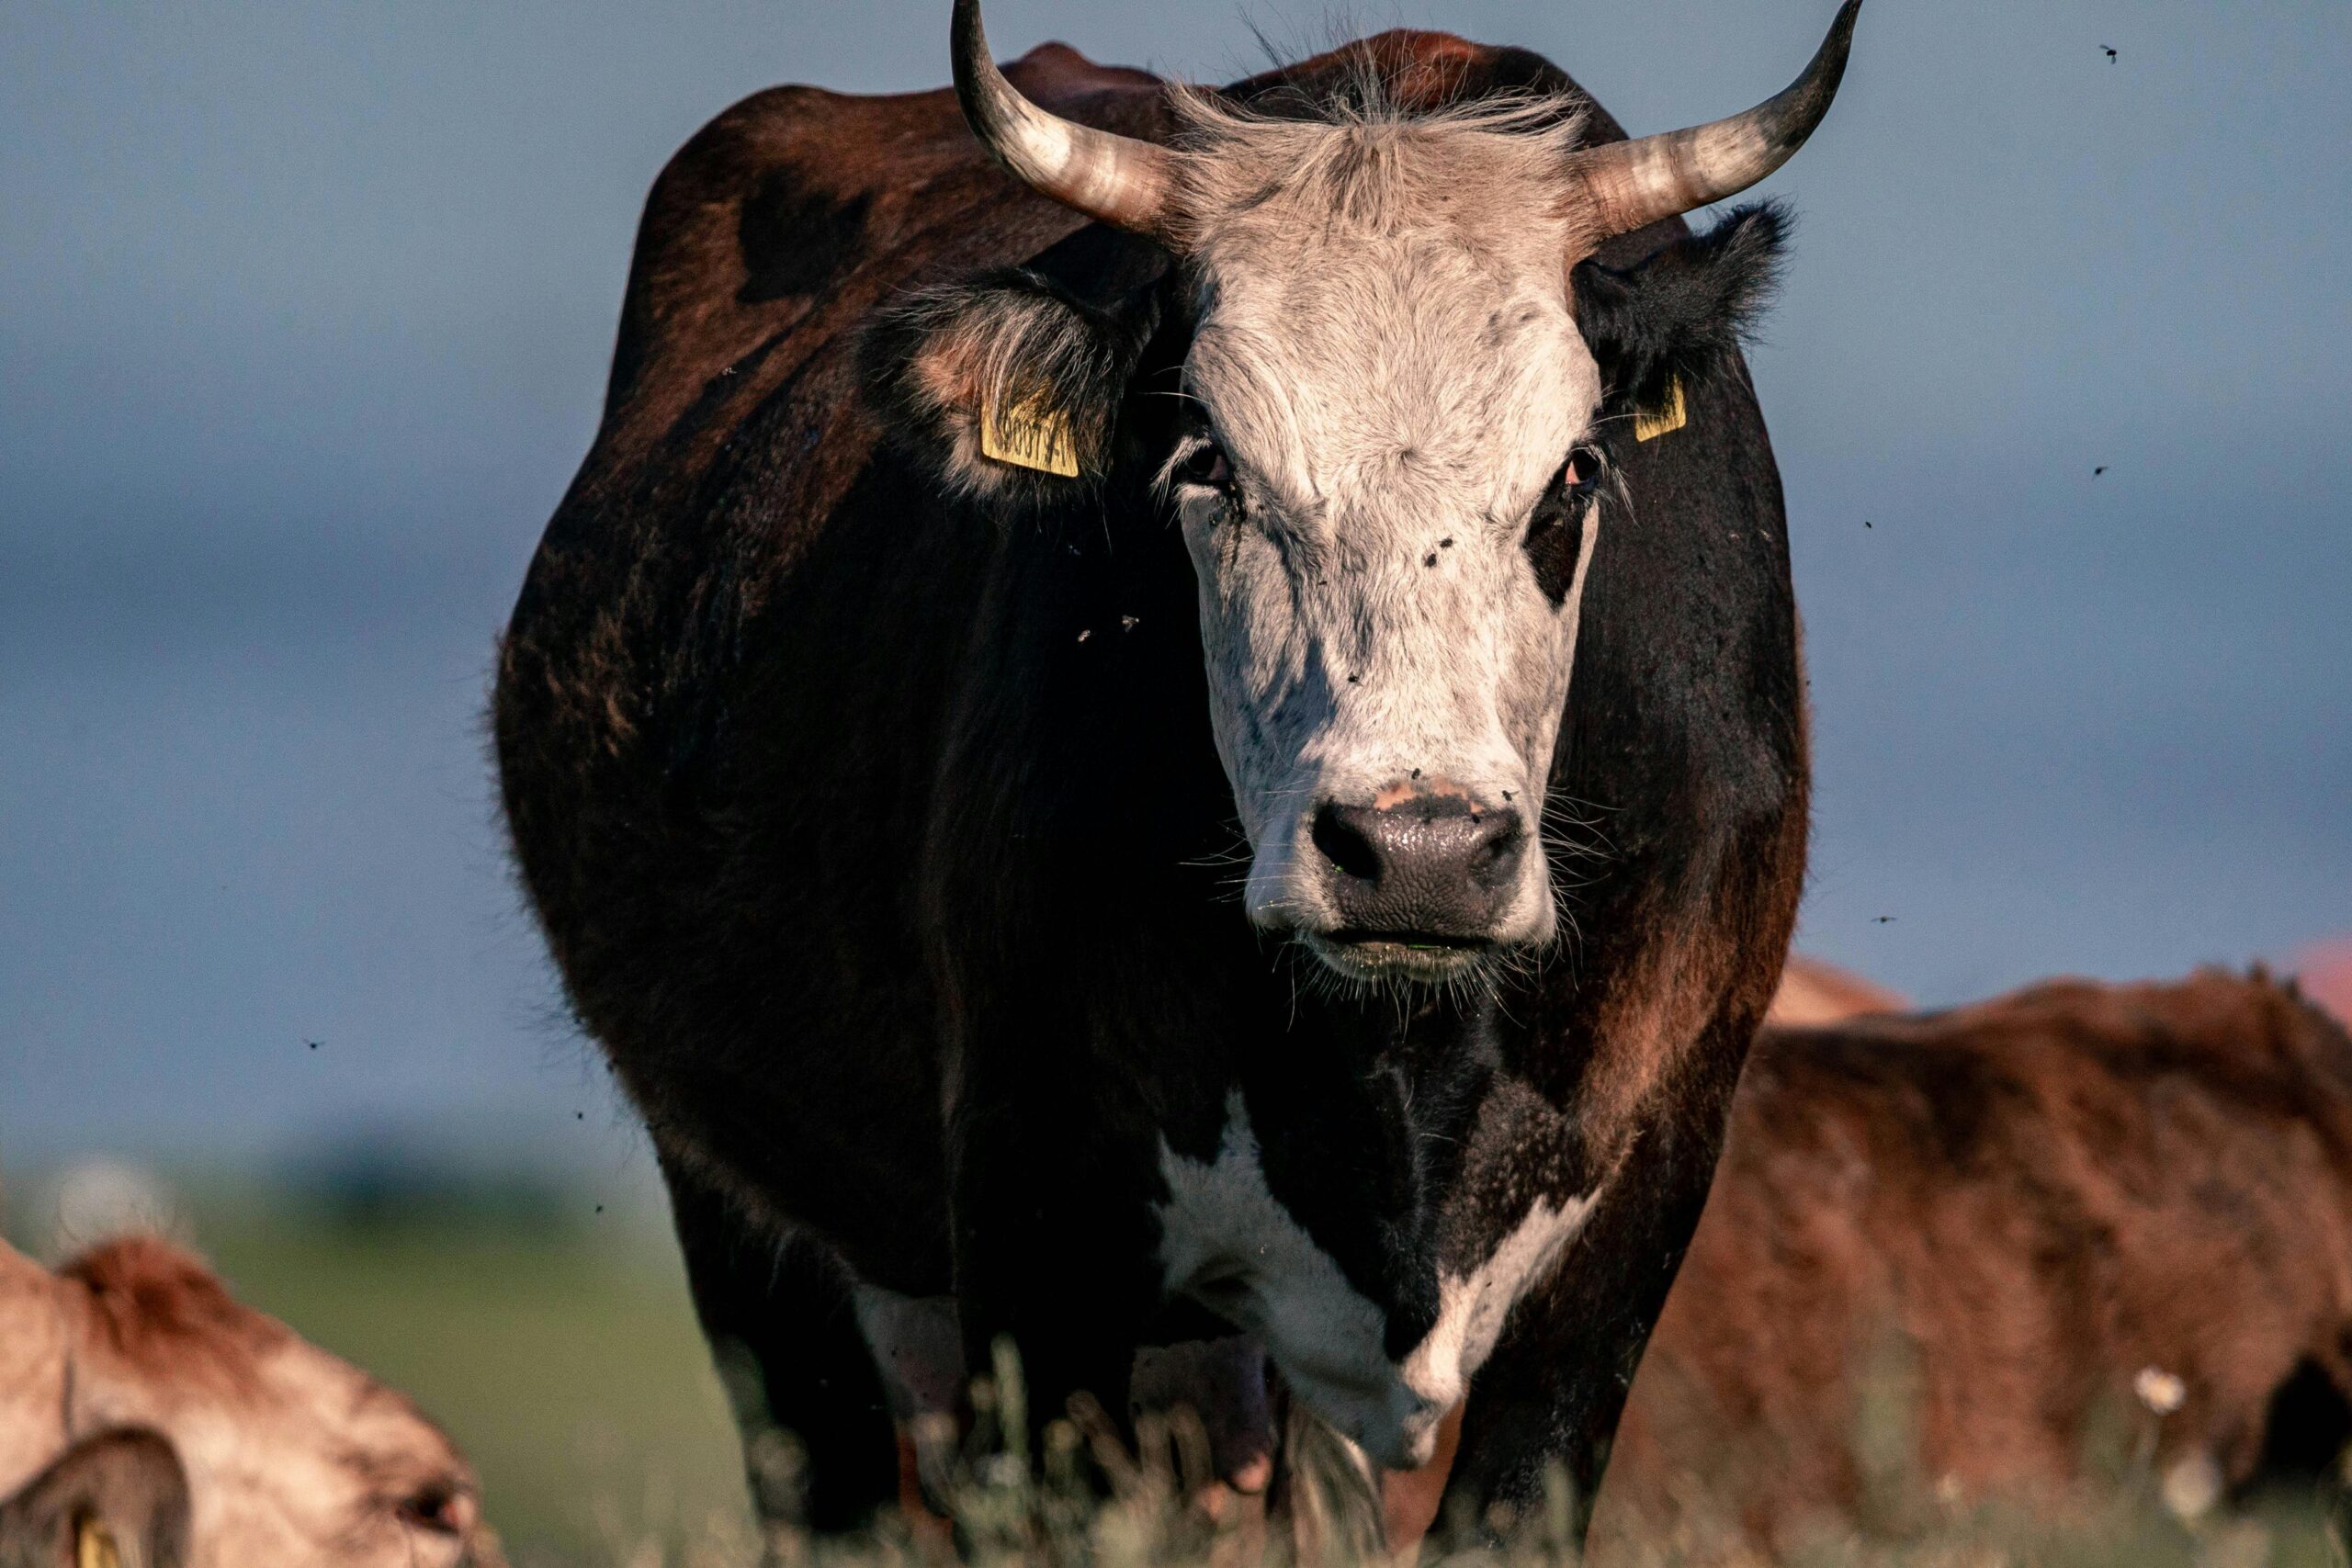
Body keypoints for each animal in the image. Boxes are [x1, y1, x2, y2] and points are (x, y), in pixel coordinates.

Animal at [492, 0, 1853, 1541]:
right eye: (1211, 459)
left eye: (1573, 472)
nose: (1422, 851)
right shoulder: (1040, 1229)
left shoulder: (1627, 1235)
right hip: (758, 1242)